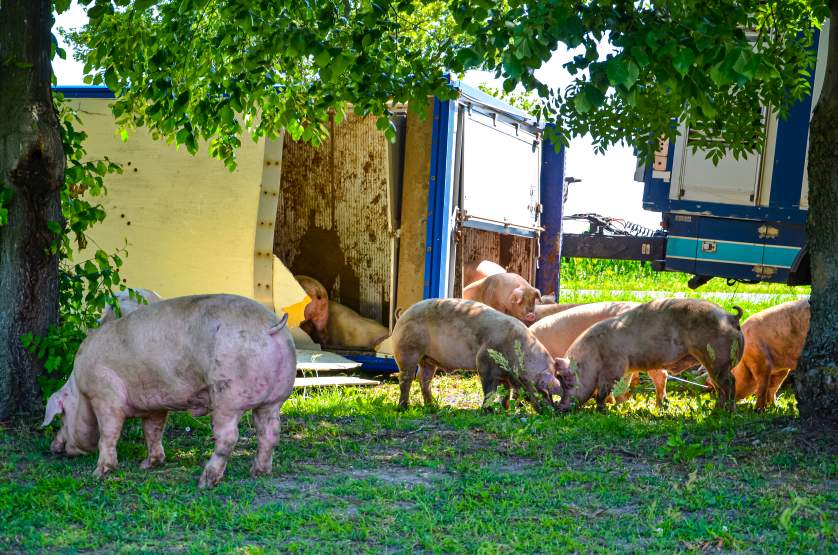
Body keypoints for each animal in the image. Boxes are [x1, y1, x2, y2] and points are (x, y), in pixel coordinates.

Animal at [43, 294, 298, 488]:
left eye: (61, 416)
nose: (54, 448)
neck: (80, 386)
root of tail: (270, 326)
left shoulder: (104, 394)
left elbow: (108, 433)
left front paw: (99, 473)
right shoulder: (153, 403)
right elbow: (153, 431)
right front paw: (147, 465)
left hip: (227, 395)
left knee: (228, 437)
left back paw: (205, 481)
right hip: (275, 398)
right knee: (270, 433)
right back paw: (258, 472)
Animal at [390, 300, 576, 412]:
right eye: (543, 390)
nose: (551, 411)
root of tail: (402, 316)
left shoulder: (505, 375)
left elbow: (506, 391)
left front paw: (505, 409)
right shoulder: (484, 362)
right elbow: (489, 390)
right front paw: (488, 411)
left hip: (428, 360)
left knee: (424, 379)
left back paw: (433, 406)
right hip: (407, 351)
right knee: (406, 379)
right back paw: (404, 407)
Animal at [556, 300, 740, 412]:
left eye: (567, 382)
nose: (559, 407)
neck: (592, 355)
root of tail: (730, 317)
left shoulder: (614, 367)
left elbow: (604, 390)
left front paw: (601, 409)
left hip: (718, 359)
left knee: (729, 383)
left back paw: (723, 412)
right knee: (720, 386)